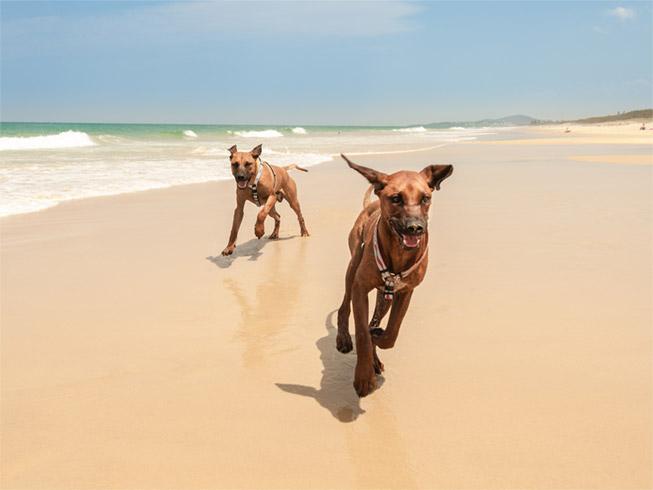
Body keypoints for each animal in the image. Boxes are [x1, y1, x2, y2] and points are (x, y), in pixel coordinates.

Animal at [336, 155, 454, 396]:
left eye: (425, 198)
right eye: (396, 198)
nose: (415, 228)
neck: (399, 253)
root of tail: (370, 205)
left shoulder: (405, 291)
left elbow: (392, 332)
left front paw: (378, 339)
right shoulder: (360, 287)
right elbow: (361, 333)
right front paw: (364, 377)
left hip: (385, 295)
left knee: (375, 319)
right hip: (353, 266)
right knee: (344, 307)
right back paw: (343, 338)